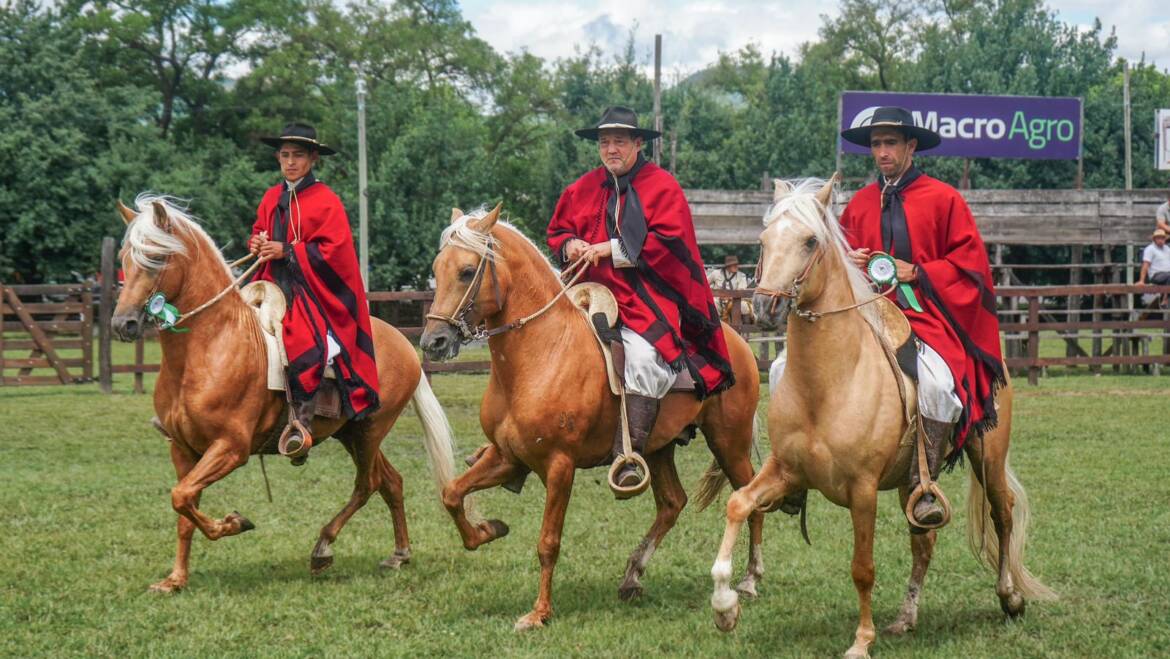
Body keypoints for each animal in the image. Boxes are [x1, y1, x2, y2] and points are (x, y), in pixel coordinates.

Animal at [108, 195, 456, 592]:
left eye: (155, 257)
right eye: (124, 259)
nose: (123, 324)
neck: (212, 345)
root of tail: (402, 341)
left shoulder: (230, 448)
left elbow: (182, 497)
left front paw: (234, 522)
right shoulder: (182, 449)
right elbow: (183, 504)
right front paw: (175, 579)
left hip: (371, 429)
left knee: (367, 483)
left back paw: (323, 548)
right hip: (351, 432)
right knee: (391, 481)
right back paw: (399, 553)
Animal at [423, 203, 767, 632]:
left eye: (468, 271)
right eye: (437, 268)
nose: (433, 341)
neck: (544, 352)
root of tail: (736, 342)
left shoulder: (559, 466)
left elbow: (548, 541)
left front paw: (539, 613)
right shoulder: (507, 457)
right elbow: (452, 494)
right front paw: (489, 530)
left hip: (728, 442)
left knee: (749, 497)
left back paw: (750, 579)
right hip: (659, 448)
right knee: (672, 503)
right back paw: (633, 575)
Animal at [706, 179, 1057, 659]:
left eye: (810, 241)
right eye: (764, 241)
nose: (764, 307)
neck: (831, 382)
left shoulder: (863, 490)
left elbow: (863, 567)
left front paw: (861, 640)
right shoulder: (785, 470)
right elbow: (738, 503)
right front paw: (725, 605)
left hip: (988, 454)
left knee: (1002, 513)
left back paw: (1010, 597)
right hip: (915, 481)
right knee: (924, 539)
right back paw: (906, 617)